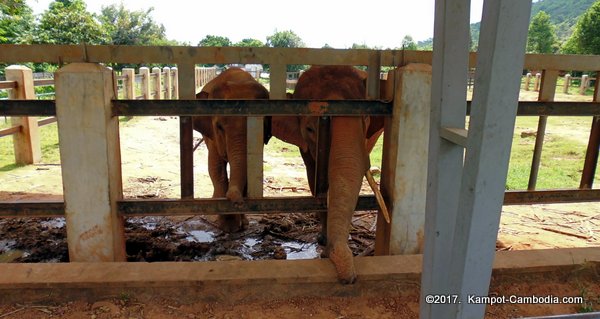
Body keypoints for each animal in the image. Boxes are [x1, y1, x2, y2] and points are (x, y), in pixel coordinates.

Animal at [193, 67, 268, 232]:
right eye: (219, 126)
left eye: (261, 126)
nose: (239, 202)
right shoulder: (212, 137)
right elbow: (216, 168)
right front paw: (227, 226)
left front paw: (241, 224)